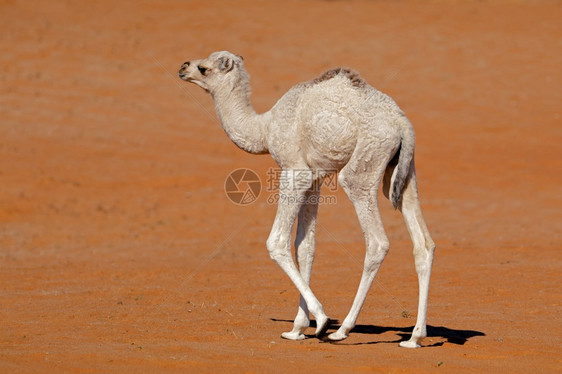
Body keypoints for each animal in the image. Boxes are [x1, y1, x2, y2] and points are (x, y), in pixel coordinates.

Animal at [177, 50, 436, 348]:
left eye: (204, 68)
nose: (183, 67)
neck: (265, 127)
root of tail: (402, 124)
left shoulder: (294, 170)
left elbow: (277, 242)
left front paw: (321, 321)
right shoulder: (314, 179)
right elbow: (306, 246)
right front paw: (297, 328)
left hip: (364, 164)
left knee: (377, 240)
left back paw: (342, 330)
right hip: (402, 170)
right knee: (423, 243)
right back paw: (415, 337)